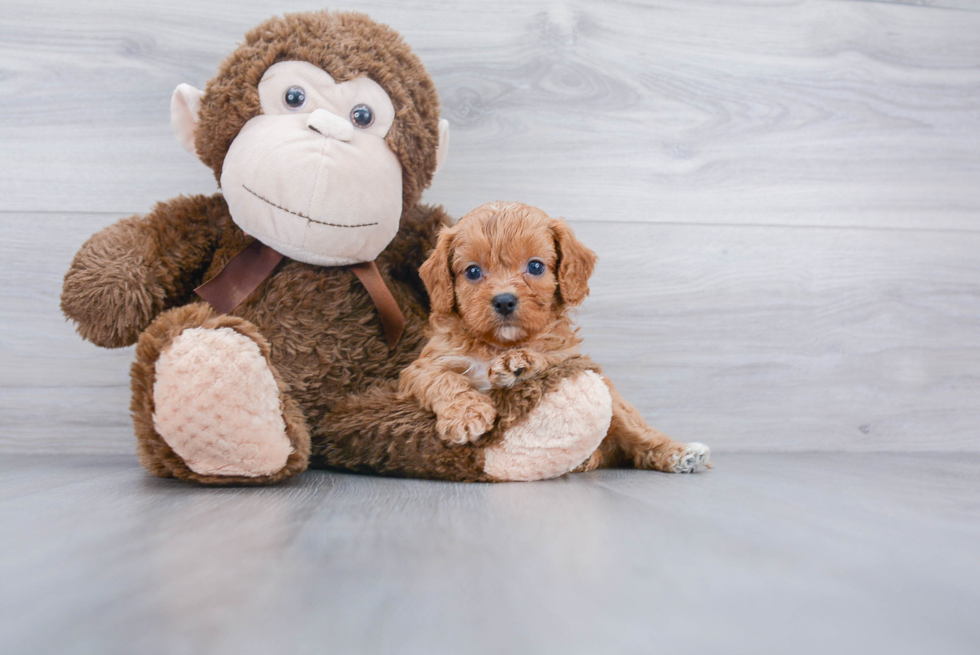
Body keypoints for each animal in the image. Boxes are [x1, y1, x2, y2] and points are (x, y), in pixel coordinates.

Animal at [398, 202, 712, 474]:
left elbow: (546, 356)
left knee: (639, 436)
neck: (499, 344)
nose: (504, 301)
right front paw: (465, 415)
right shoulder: (425, 366)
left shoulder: (569, 358)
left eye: (536, 266)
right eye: (473, 271)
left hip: (615, 403)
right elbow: (444, 380)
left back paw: (679, 453)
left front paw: (518, 364)